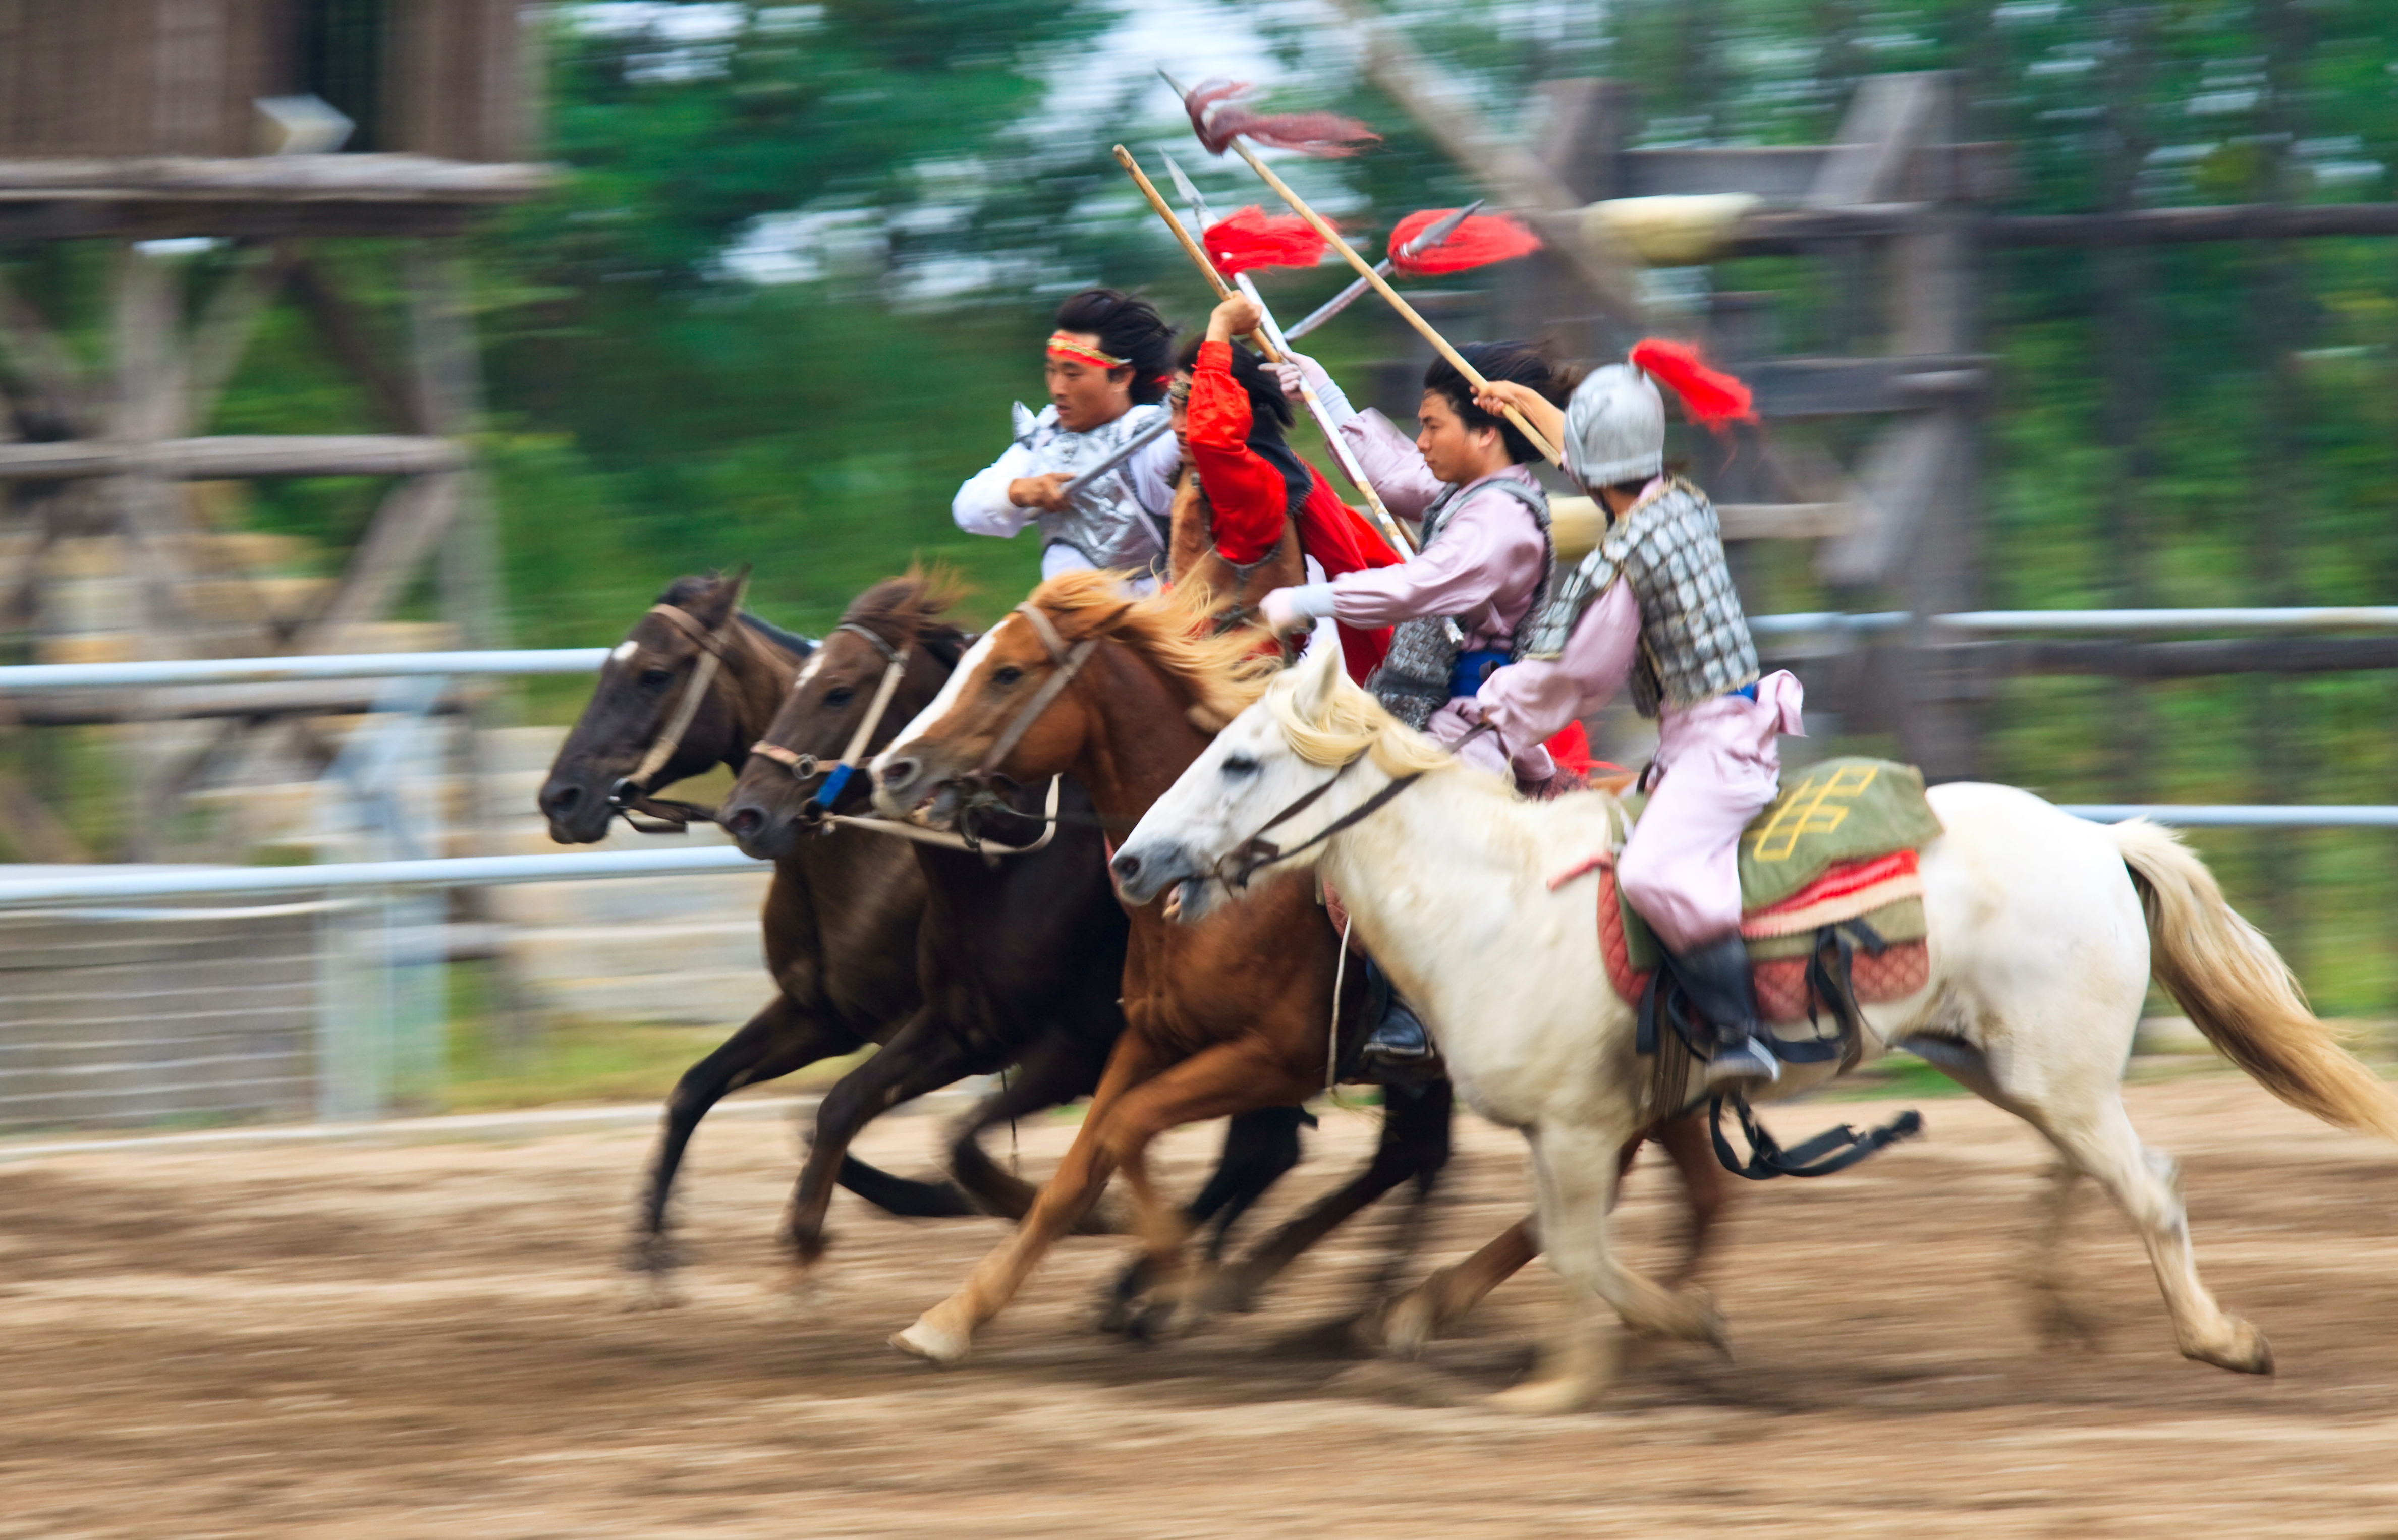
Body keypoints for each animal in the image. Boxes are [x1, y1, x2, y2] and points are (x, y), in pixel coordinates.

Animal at [873, 571, 1736, 1362]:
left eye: (1007, 673)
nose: (895, 768)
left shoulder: (1274, 1059)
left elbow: (1130, 1127)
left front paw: (1171, 1286)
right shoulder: (1150, 1038)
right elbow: (1082, 1166)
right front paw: (957, 1314)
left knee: (1635, 1187)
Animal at [1107, 633, 2398, 1401]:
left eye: (1240, 760)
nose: (1131, 861)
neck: (1497, 899)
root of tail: (2100, 838)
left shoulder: (1580, 1130)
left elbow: (1581, 1253)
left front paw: (1597, 1366)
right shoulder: (1558, 1134)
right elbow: (1569, 1246)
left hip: (2061, 1075)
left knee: (2151, 1186)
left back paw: (2217, 1339)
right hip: (2006, 1065)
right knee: (2101, 1174)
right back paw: (2062, 1308)